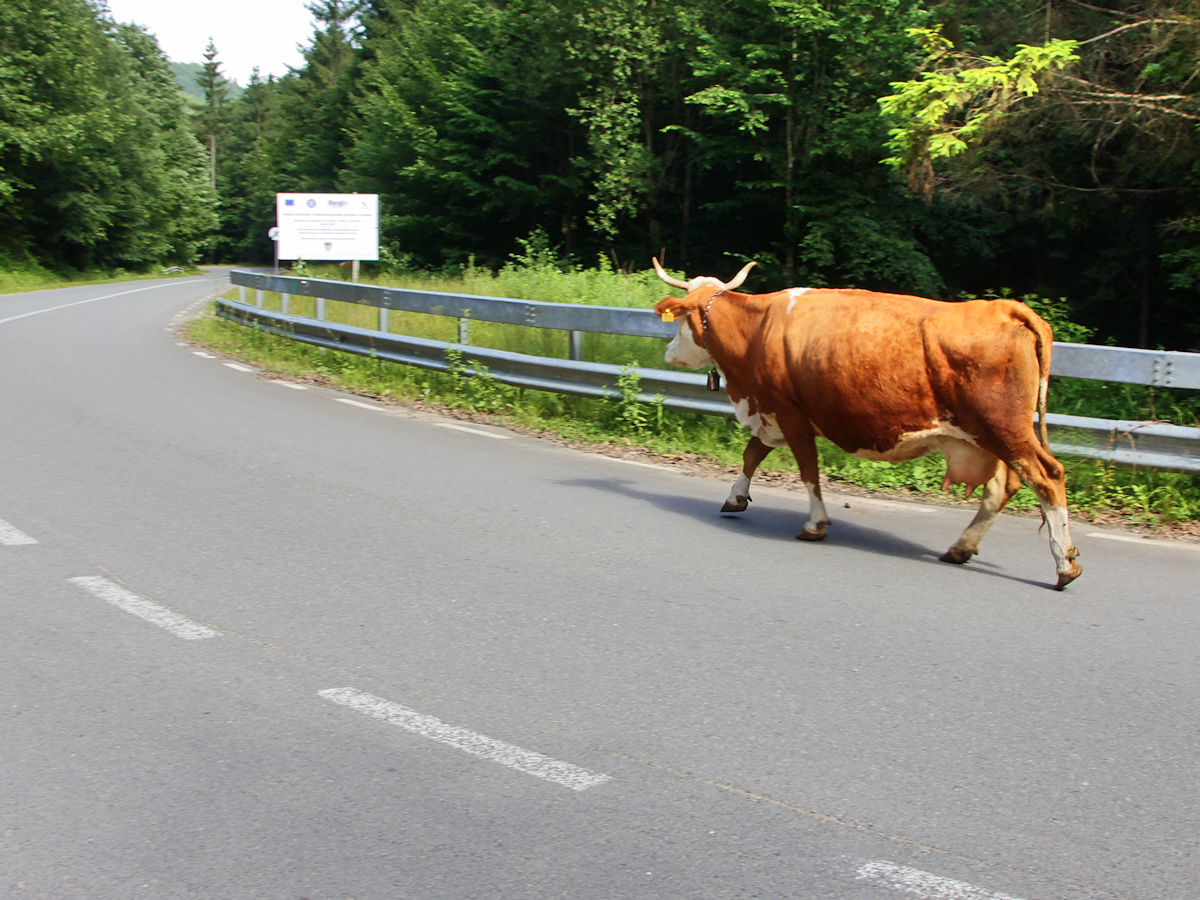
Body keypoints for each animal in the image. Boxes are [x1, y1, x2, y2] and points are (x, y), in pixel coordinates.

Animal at [651, 258, 1082, 589]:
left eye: (679, 322)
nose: (669, 352)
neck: (757, 328)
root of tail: (1004, 307)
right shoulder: (773, 411)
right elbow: (752, 454)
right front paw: (735, 497)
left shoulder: (791, 412)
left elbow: (807, 469)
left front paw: (815, 523)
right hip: (984, 437)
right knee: (1002, 487)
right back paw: (961, 548)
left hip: (1004, 429)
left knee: (1047, 476)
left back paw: (1065, 565)